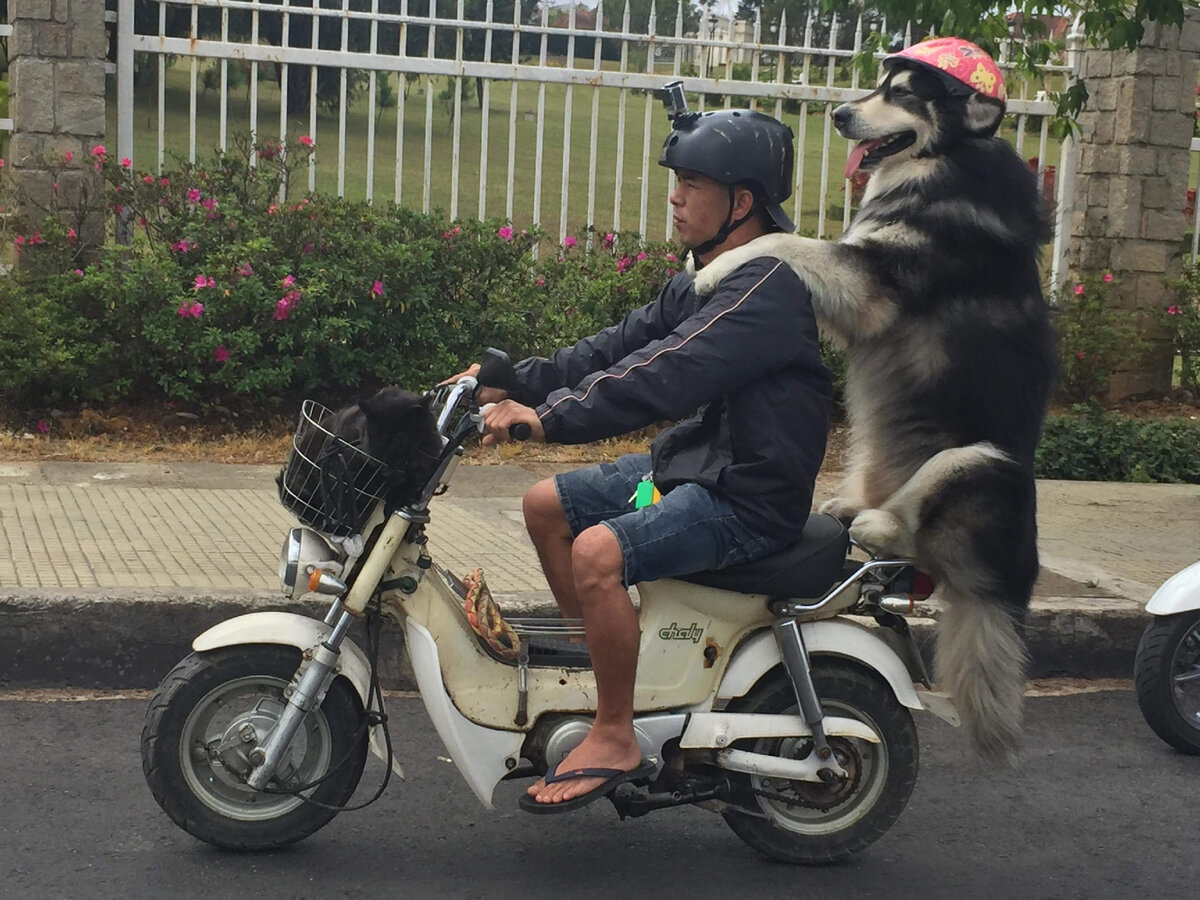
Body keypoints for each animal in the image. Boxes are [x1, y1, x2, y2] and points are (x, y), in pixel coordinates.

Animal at [696, 45, 1051, 758]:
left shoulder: (872, 281)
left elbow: (779, 242)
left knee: (917, 534)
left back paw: (878, 524)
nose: (838, 114)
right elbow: (792, 248)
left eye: (905, 94)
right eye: (876, 84)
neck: (946, 161)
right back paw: (852, 502)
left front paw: (712, 269)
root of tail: (1011, 578)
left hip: (982, 460)